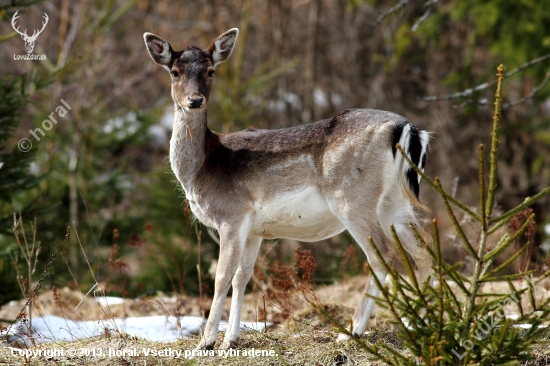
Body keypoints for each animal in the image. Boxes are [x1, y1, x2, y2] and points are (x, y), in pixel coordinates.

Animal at [146, 27, 436, 348]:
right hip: (396, 204)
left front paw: (206, 342)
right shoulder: (253, 229)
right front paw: (231, 339)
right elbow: (242, 276)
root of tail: (407, 129)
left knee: (382, 253)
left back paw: (351, 331)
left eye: (211, 71)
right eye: (174, 71)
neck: (203, 168)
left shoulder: (231, 215)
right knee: (424, 249)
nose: (195, 100)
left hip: (353, 197)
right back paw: (417, 324)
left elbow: (222, 276)